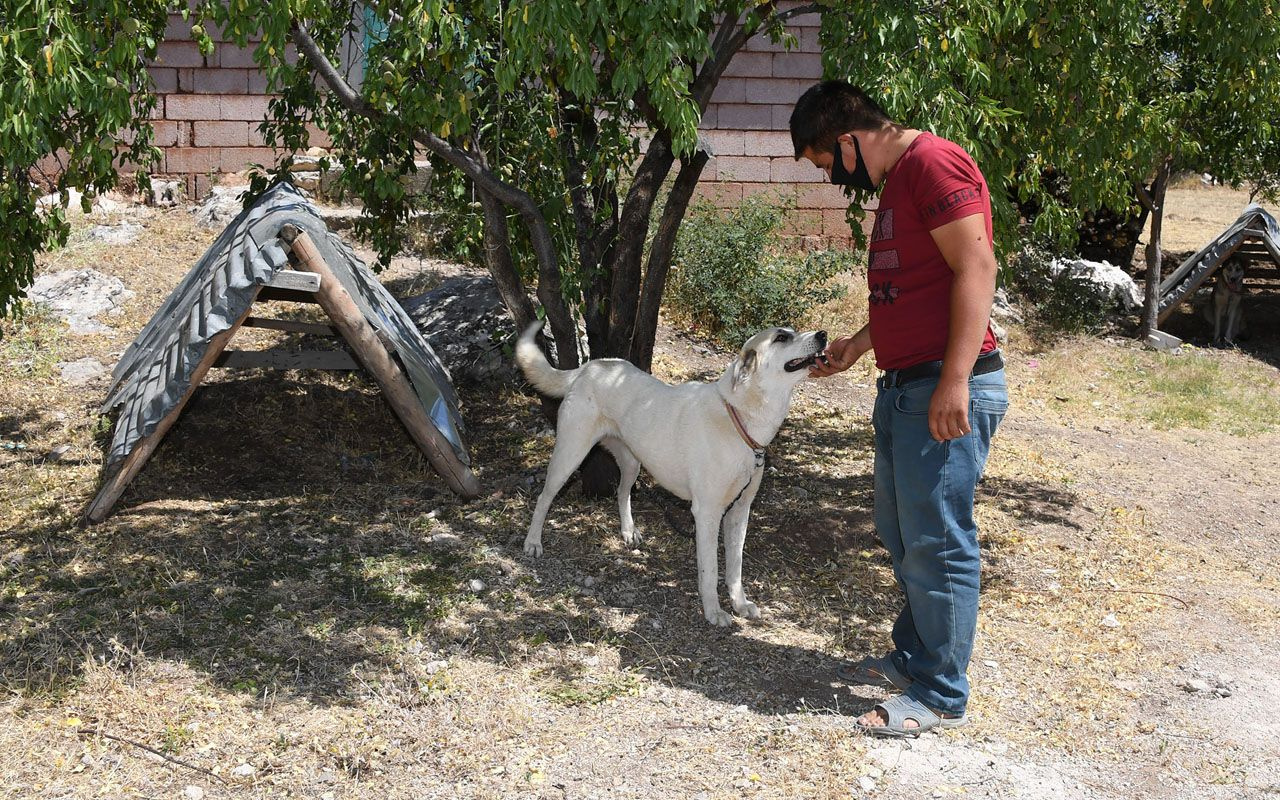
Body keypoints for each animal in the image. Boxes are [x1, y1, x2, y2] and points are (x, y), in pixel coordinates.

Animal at [514, 320, 824, 624]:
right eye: (781, 337)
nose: (823, 335)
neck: (739, 417)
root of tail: (591, 367)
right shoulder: (707, 513)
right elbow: (710, 570)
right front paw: (713, 611)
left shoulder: (739, 512)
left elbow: (735, 568)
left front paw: (740, 603)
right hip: (570, 455)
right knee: (544, 497)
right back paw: (532, 542)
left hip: (632, 462)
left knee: (622, 492)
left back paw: (628, 531)